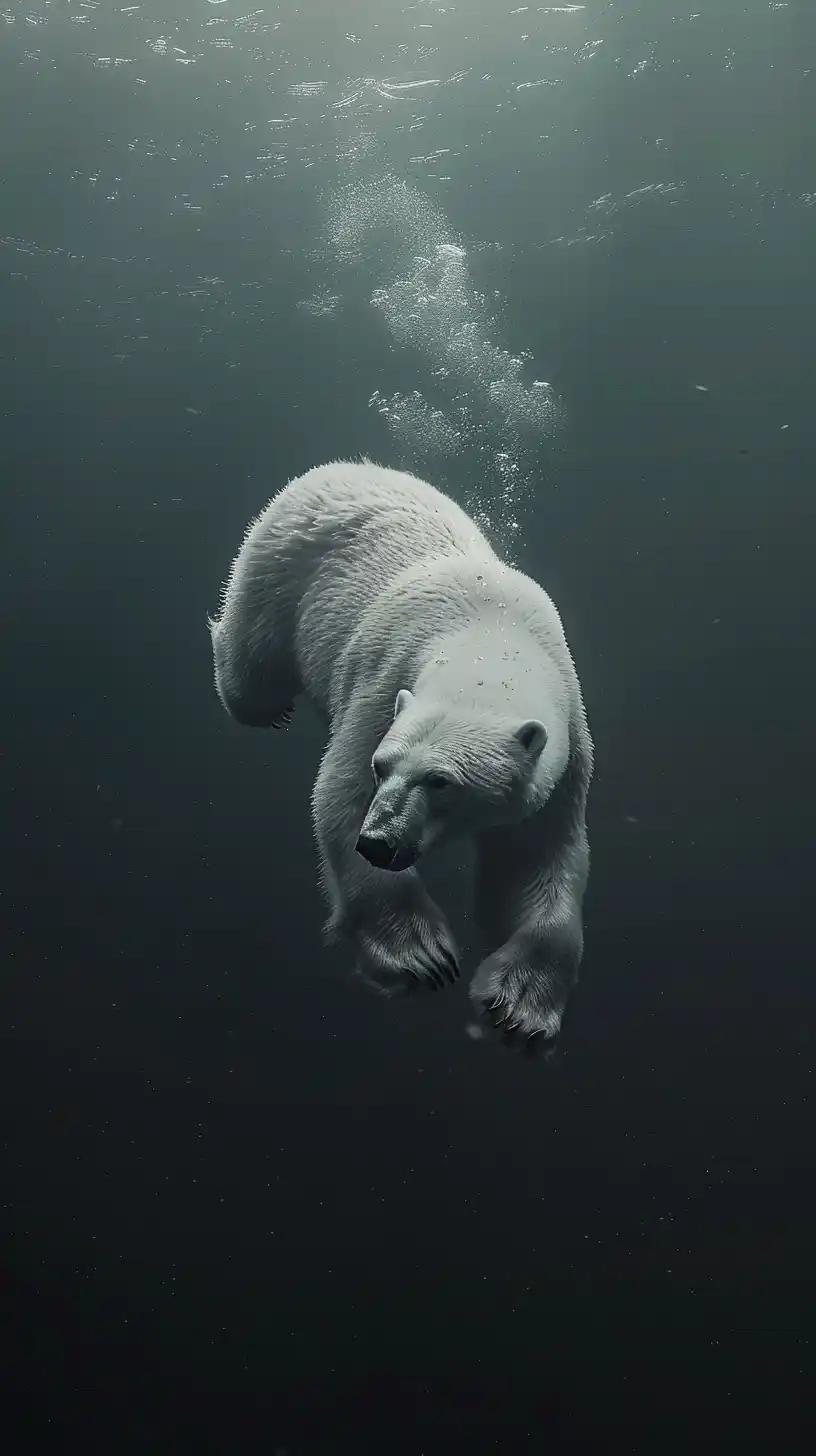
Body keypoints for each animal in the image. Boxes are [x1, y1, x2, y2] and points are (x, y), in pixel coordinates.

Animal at [209, 460, 593, 1051]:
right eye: (382, 767)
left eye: (441, 782)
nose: (379, 843)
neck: (491, 634)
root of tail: (341, 467)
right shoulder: (384, 680)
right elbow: (339, 795)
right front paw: (421, 957)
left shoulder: (566, 746)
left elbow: (539, 859)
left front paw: (520, 1009)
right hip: (277, 565)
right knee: (251, 659)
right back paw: (263, 705)